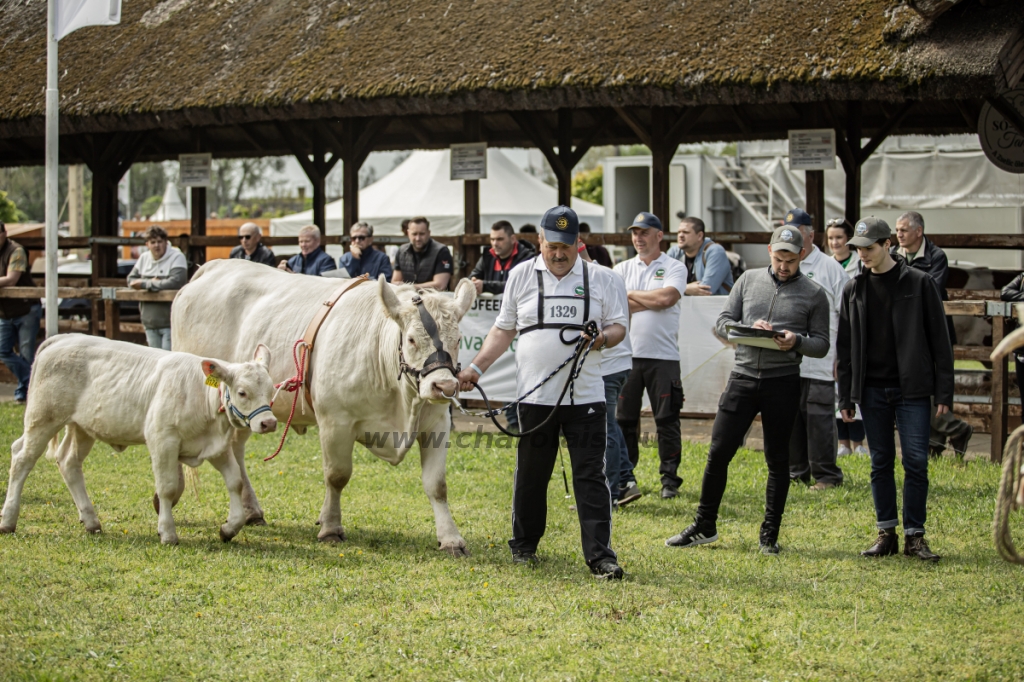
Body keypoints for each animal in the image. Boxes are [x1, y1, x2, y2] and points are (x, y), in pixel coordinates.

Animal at [0, 331, 278, 544]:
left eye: (270, 390)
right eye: (242, 392)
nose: (269, 422)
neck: (202, 396)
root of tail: (60, 338)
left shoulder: (215, 447)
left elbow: (235, 482)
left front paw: (229, 528)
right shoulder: (162, 440)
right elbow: (167, 487)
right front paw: (167, 533)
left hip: (81, 427)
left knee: (68, 462)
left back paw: (91, 521)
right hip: (42, 419)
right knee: (21, 458)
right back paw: (8, 520)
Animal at [174, 259, 477, 552]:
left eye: (458, 340)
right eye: (412, 339)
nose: (444, 386)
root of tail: (213, 267)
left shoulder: (437, 423)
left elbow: (437, 485)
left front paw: (450, 538)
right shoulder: (336, 422)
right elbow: (337, 475)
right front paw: (331, 527)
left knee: (236, 449)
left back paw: (252, 512)